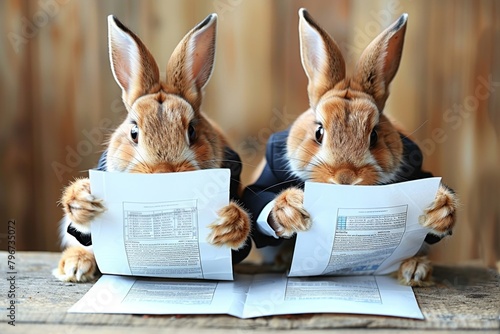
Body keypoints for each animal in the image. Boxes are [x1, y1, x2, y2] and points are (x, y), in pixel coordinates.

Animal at [53, 14, 254, 284]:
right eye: (134, 132)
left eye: (192, 131)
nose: (163, 172)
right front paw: (83, 200)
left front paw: (229, 224)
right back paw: (75, 267)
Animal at [242, 9, 458, 288]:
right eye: (319, 132)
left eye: (374, 136)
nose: (345, 177)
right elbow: (256, 196)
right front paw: (290, 210)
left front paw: (440, 209)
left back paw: (414, 270)